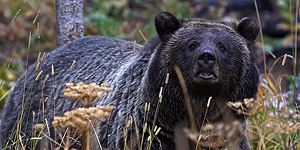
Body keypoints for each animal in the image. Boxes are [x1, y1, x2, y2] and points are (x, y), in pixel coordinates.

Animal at [0, 11, 258, 149]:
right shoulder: (146, 133)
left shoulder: (227, 135)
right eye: (192, 44)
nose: (206, 58)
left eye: (223, 46)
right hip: (32, 127)